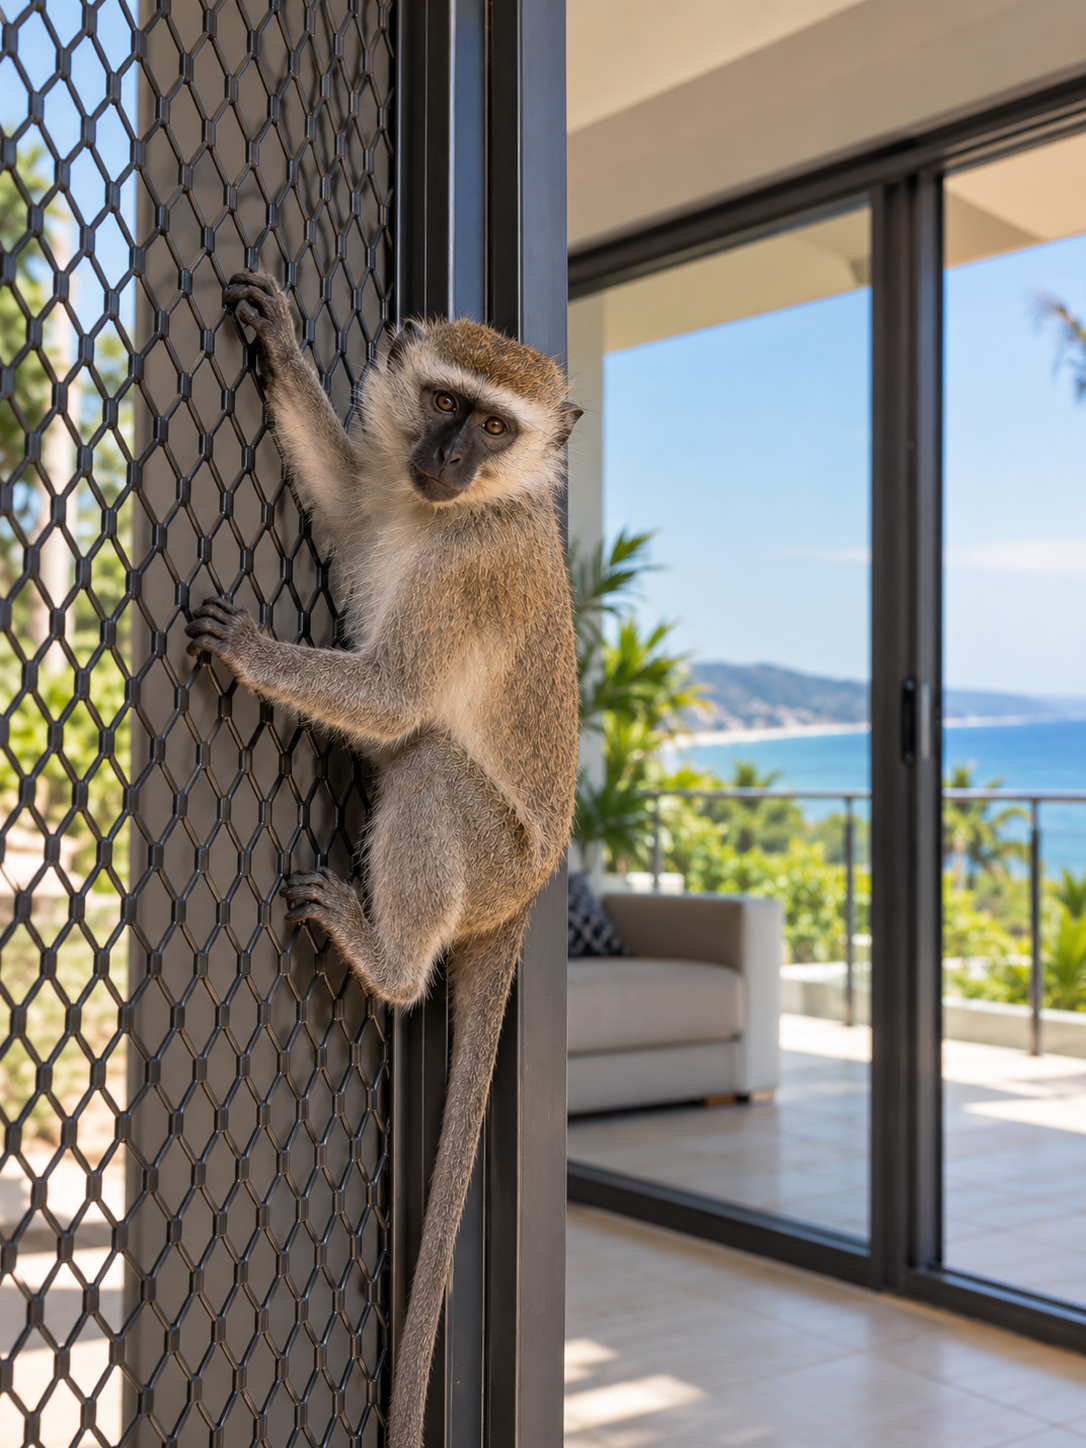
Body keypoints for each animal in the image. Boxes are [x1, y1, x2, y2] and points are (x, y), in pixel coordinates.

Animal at [184, 272, 582, 1448]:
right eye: (445, 403)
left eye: (494, 428)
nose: (448, 455)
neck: (458, 509)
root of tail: (531, 893)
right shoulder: (392, 487)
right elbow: (346, 495)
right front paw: (283, 347)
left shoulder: (469, 573)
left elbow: (399, 700)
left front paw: (253, 652)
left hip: (489, 856)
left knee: (431, 764)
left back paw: (390, 962)